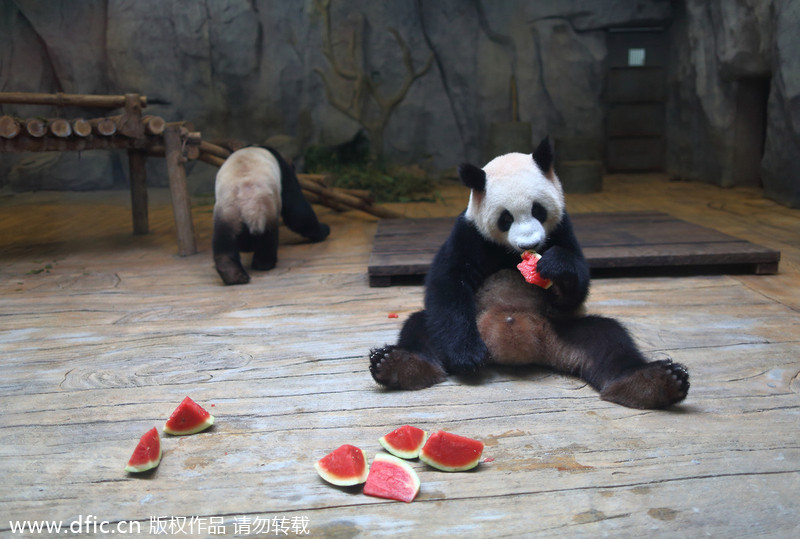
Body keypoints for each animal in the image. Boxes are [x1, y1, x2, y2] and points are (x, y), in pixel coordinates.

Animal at [212, 146, 332, 284]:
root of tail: (246, 196)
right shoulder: (285, 174)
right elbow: (296, 210)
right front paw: (324, 230)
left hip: (227, 210)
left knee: (224, 239)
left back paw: (233, 274)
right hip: (266, 206)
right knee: (268, 237)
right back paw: (264, 264)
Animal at [368, 138, 688, 410]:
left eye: (538, 210)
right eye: (505, 218)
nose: (530, 244)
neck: (511, 253)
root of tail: (526, 348)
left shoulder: (562, 228)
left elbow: (576, 286)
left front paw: (554, 267)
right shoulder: (469, 235)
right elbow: (448, 284)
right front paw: (467, 356)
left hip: (564, 328)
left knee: (608, 339)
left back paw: (652, 382)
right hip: (463, 325)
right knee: (422, 327)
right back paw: (401, 365)